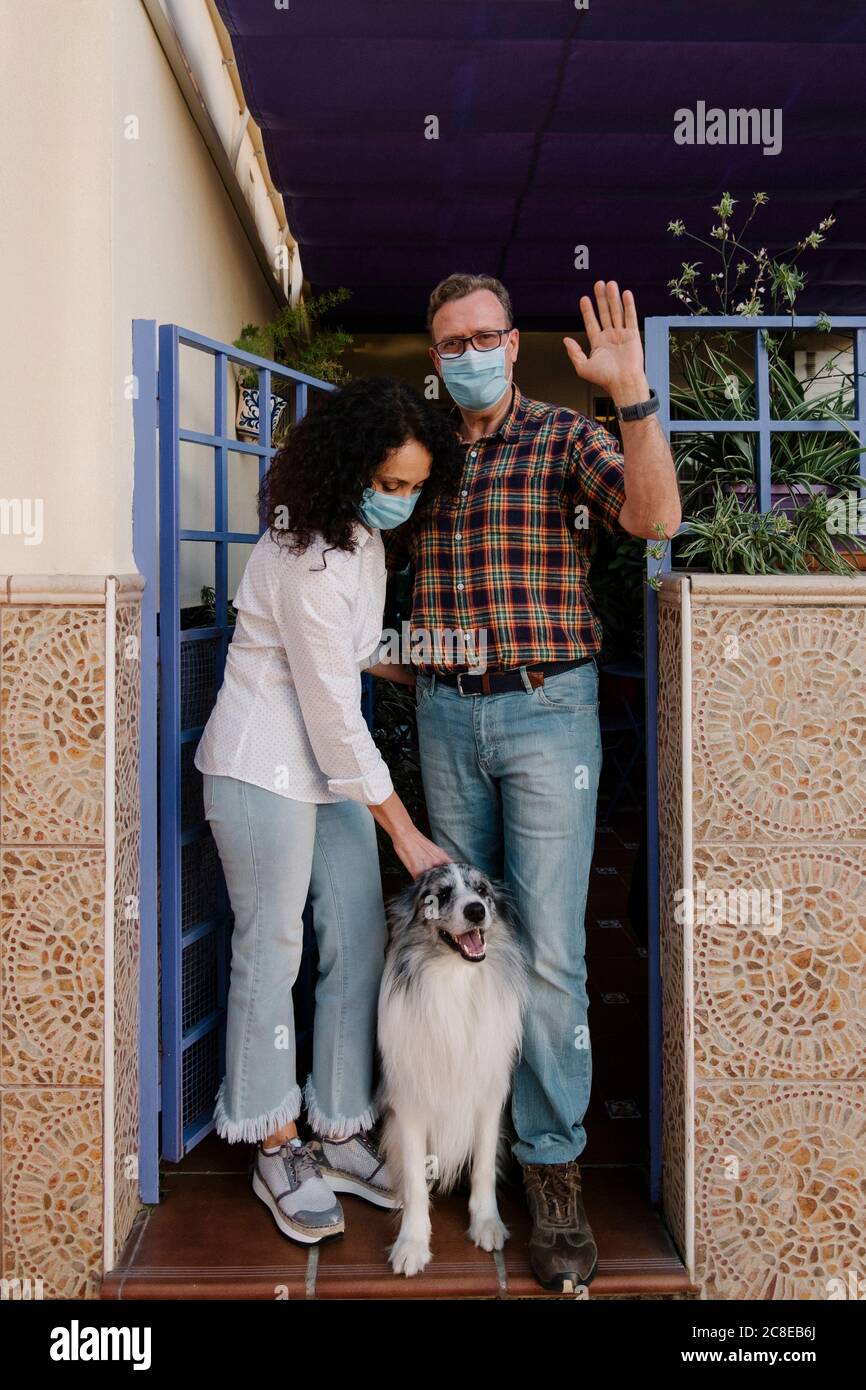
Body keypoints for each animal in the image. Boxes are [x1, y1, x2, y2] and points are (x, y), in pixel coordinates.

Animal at [378, 861, 530, 1273]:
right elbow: (415, 1181)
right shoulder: (410, 1104)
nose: (476, 910)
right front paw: (412, 1243)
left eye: (482, 891)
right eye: (441, 895)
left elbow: (483, 1167)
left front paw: (487, 1223)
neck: (454, 981)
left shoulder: (489, 1097)